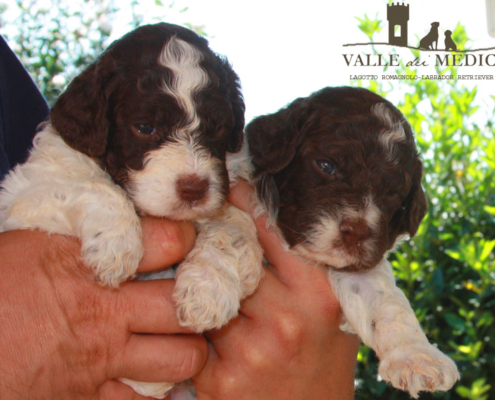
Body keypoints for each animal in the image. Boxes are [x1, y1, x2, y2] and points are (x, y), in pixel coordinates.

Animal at [0, 23, 264, 398]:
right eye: (145, 128)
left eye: (215, 127)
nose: (194, 188)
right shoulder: (22, 196)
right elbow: (94, 188)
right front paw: (116, 246)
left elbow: (234, 223)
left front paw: (210, 289)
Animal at [242, 86, 464, 396]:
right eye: (326, 166)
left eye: (392, 192)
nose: (357, 231)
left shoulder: (362, 270)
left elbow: (390, 303)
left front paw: (417, 357)